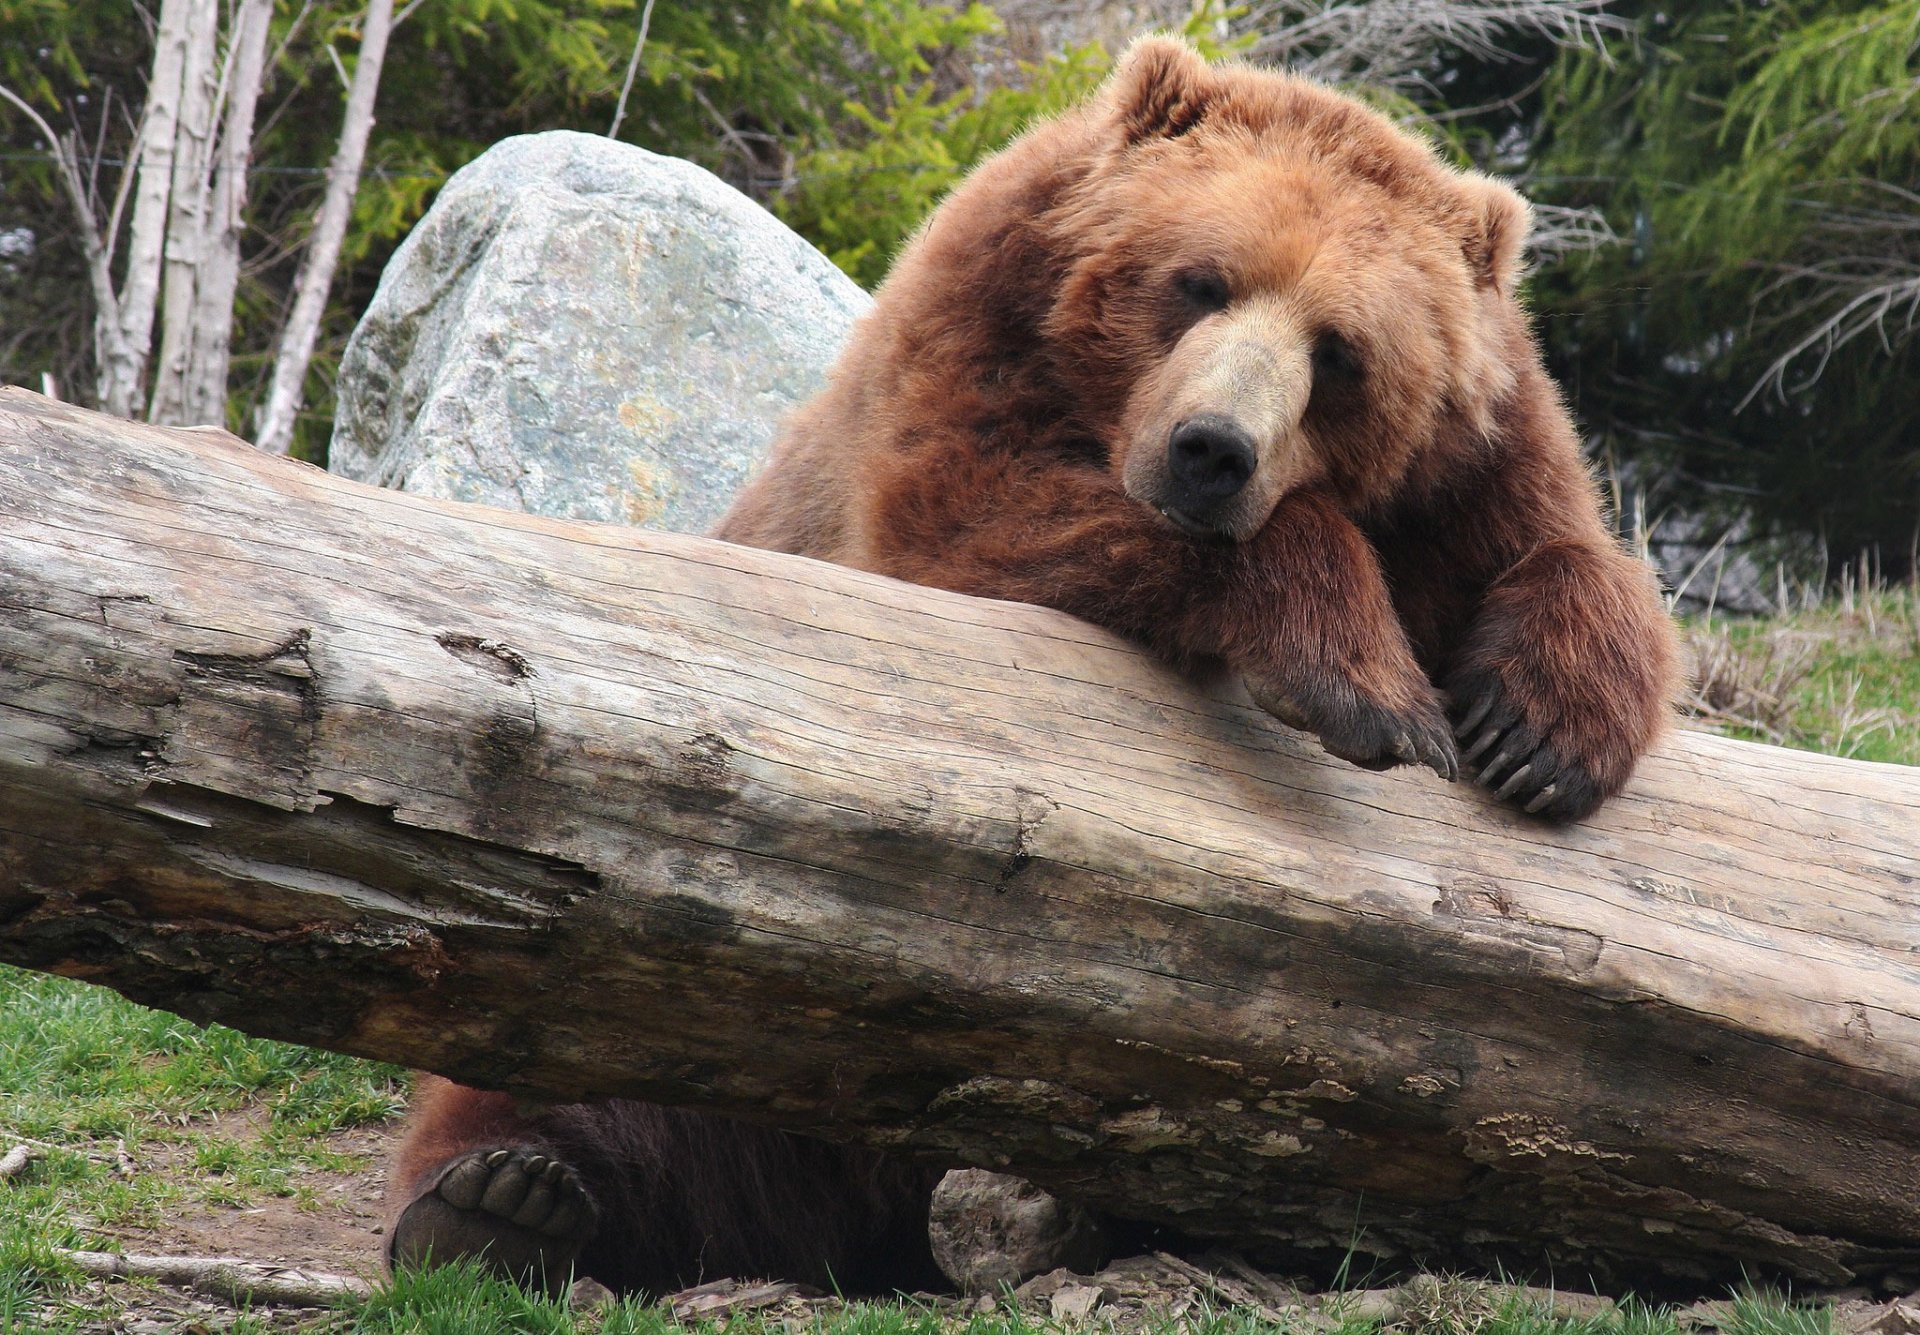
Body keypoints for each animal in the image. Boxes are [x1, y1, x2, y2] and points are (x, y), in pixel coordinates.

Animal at [385, 39, 1681, 1298]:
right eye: (1199, 281)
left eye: (1342, 352)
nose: (1212, 451)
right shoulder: (970, 356)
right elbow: (982, 521)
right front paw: (1370, 685)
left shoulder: (1475, 475)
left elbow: (1570, 549)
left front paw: (1540, 729)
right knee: (602, 1071)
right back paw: (501, 1198)